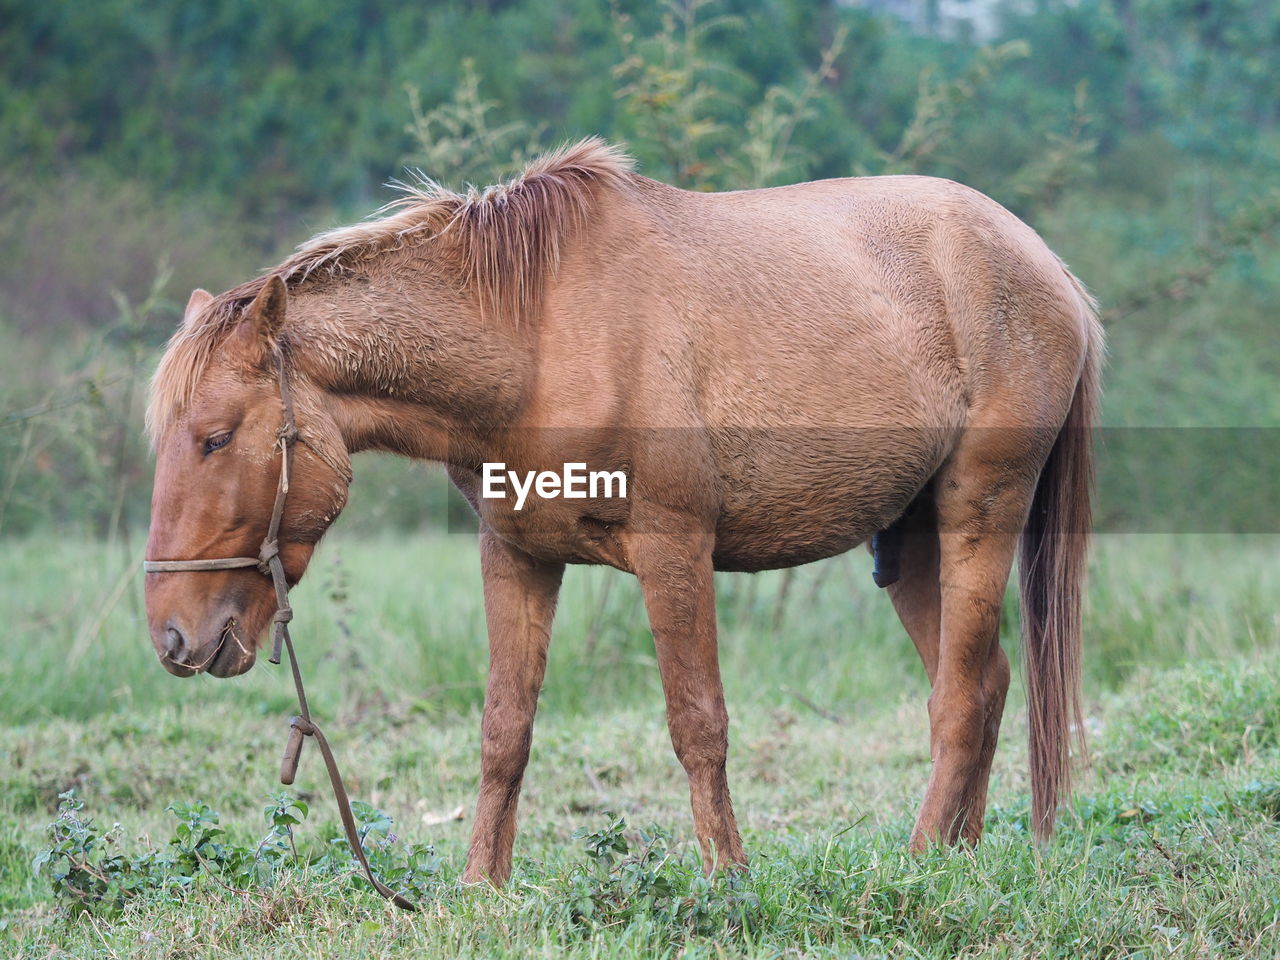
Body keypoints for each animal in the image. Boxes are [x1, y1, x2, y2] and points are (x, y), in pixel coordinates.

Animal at [142, 135, 1100, 885]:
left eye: (216, 438)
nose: (174, 636)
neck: (535, 338)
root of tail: (1048, 268)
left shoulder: (674, 551)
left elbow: (698, 724)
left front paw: (728, 880)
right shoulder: (517, 556)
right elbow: (505, 730)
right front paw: (480, 888)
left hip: (979, 513)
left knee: (961, 697)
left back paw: (921, 861)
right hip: (905, 541)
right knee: (983, 682)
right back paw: (956, 859)